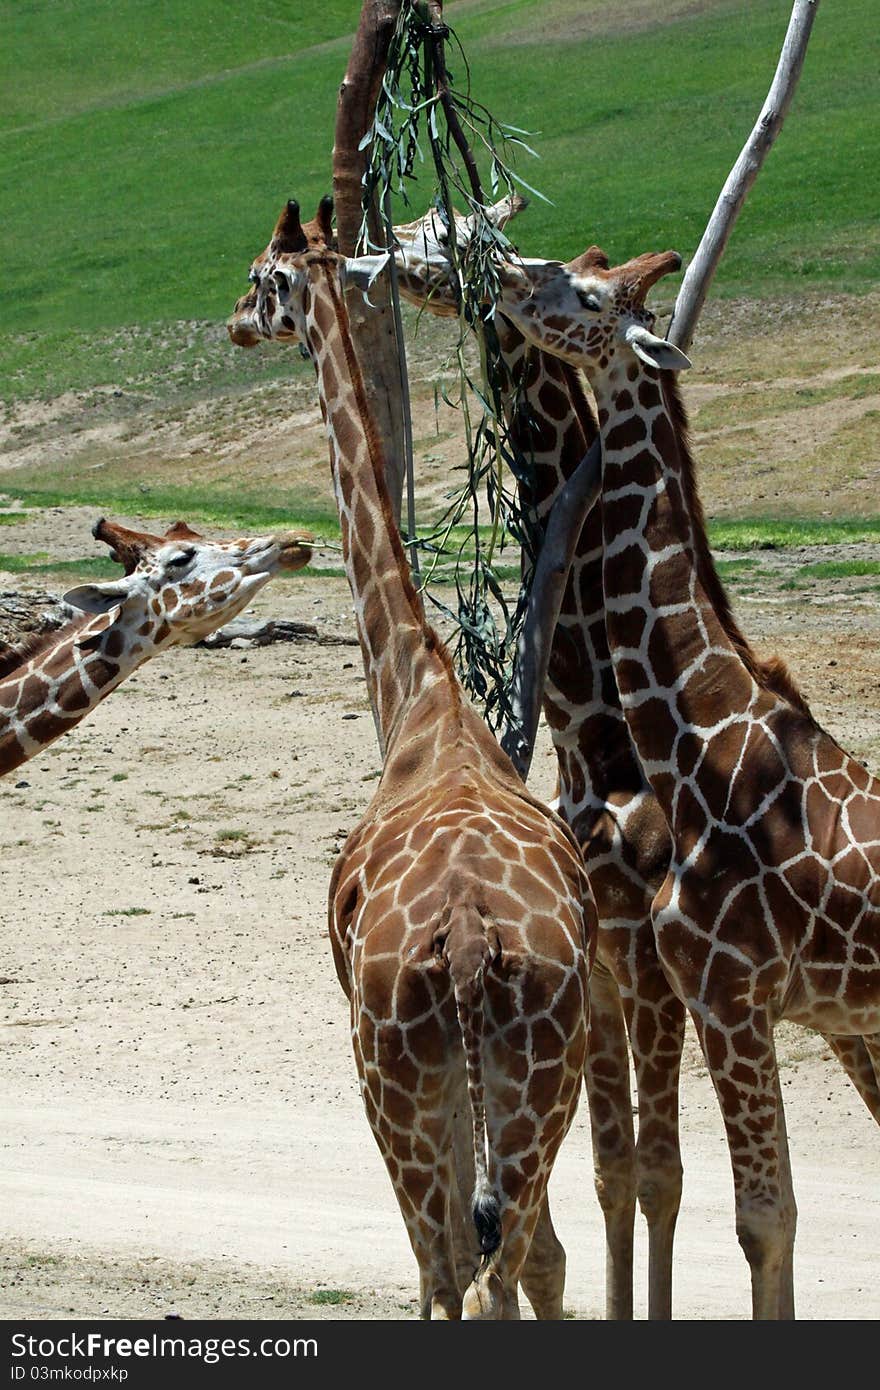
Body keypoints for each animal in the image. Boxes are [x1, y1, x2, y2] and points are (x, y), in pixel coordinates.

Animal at [229, 201, 595, 1317]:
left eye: (259, 277)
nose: (233, 324)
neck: (418, 697)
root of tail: (472, 939)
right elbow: (536, 1259)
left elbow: (442, 1270)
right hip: (540, 1071)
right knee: (515, 1256)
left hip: (393, 1075)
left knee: (447, 1269)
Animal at [494, 244, 878, 1317]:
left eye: (585, 291)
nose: (504, 274)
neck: (699, 738)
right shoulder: (734, 999)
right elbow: (757, 1211)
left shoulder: (727, 991)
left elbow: (764, 1221)